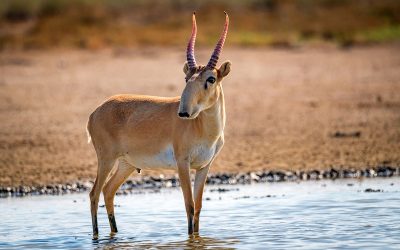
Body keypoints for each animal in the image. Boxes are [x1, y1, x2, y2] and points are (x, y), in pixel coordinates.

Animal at [87, 12, 231, 239]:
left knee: (108, 191)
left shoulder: (204, 166)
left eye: (211, 78)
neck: (203, 129)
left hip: (126, 164)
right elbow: (189, 205)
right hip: (106, 159)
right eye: (186, 78)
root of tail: (95, 112)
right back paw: (96, 237)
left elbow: (198, 207)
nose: (183, 112)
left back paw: (115, 233)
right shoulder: (183, 163)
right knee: (94, 193)